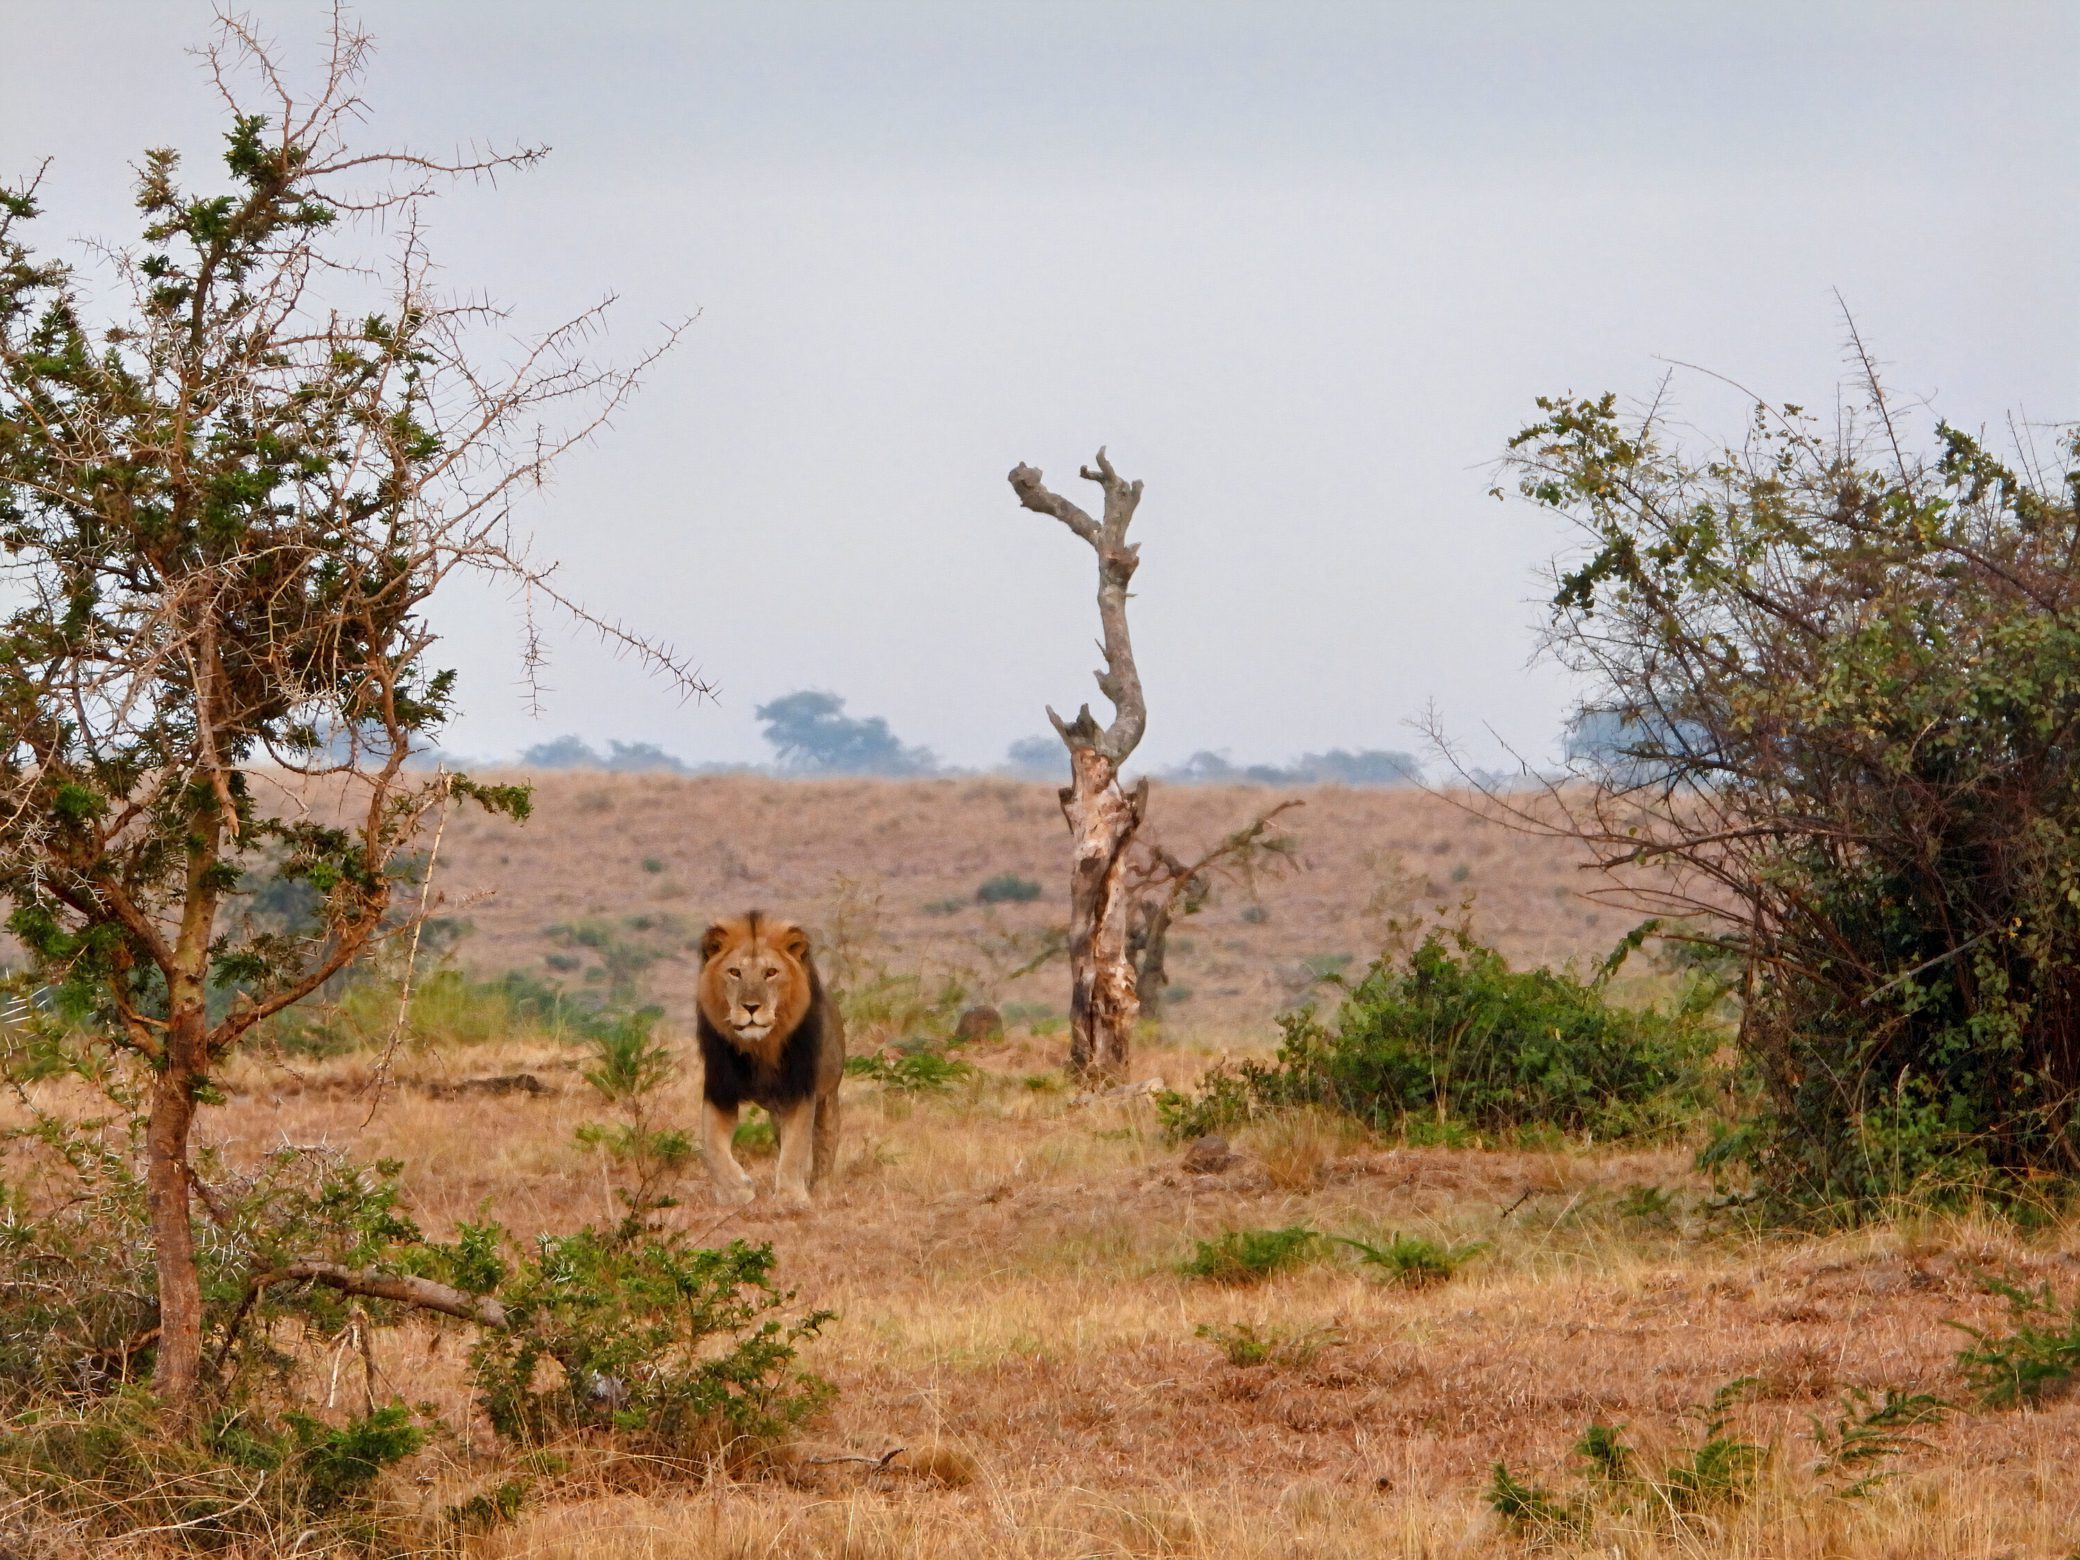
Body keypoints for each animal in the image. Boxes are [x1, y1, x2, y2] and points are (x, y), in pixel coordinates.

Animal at [695, 912, 844, 1209]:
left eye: (771, 973)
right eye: (735, 972)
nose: (751, 1007)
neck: (759, 1047)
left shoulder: (799, 1092)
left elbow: (795, 1149)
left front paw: (791, 1198)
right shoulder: (719, 1093)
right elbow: (713, 1148)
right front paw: (736, 1191)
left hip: (827, 1097)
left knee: (824, 1146)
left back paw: (820, 1188)